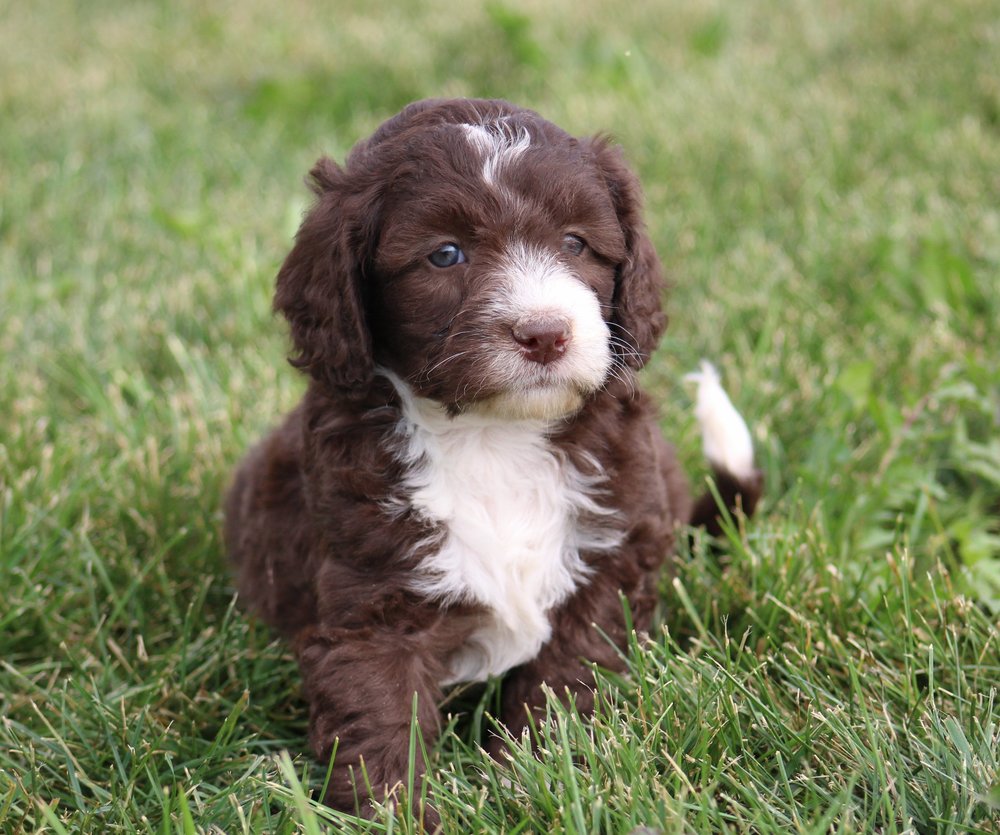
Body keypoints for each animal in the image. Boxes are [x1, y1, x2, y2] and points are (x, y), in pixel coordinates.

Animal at [223, 96, 760, 816]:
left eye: (574, 243)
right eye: (445, 254)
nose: (545, 333)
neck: (492, 434)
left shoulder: (608, 558)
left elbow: (569, 676)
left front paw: (546, 774)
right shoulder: (371, 594)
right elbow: (377, 703)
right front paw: (395, 813)